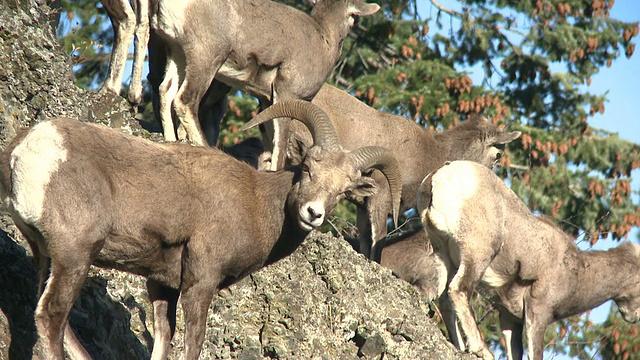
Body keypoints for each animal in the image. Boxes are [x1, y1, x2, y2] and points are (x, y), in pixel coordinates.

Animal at [0, 100, 400, 360]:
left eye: (342, 191)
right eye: (307, 168)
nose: (313, 213)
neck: (254, 201)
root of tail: (28, 149)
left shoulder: (161, 284)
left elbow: (163, 341)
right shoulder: (200, 283)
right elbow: (192, 343)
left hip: (46, 256)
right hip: (75, 256)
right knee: (51, 316)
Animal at [150, 0, 380, 172]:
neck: (324, 39)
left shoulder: (266, 100)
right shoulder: (286, 94)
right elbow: (280, 144)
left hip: (177, 54)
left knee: (165, 91)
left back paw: (170, 141)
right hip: (206, 59)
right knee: (185, 100)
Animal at [416, 160, 640, 360]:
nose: (634, 317)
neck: (578, 273)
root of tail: (438, 178)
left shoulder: (510, 319)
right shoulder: (538, 312)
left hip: (444, 255)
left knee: (444, 299)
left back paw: (460, 347)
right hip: (478, 253)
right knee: (459, 290)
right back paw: (482, 350)